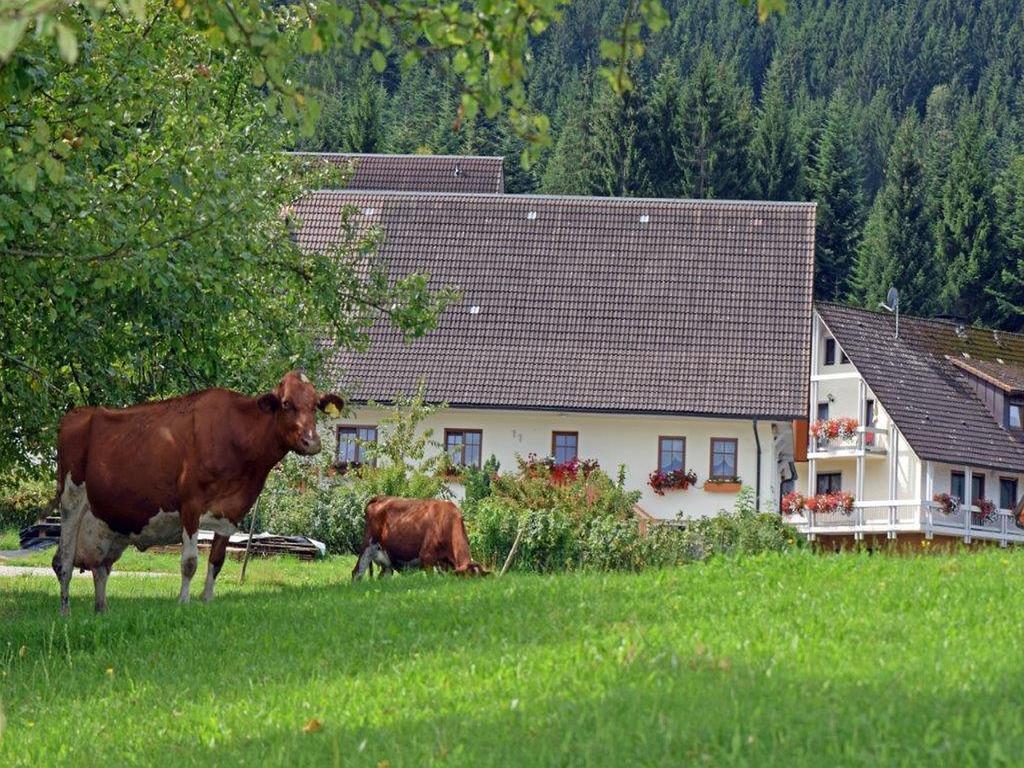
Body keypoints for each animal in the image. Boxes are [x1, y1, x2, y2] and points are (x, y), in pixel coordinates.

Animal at [50, 370, 344, 618]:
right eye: (286, 404)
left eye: (315, 405)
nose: (312, 442)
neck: (237, 436)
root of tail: (76, 414)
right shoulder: (190, 504)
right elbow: (189, 562)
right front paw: (183, 603)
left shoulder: (232, 512)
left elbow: (217, 561)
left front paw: (207, 600)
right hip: (71, 500)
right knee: (63, 561)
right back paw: (65, 612)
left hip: (107, 521)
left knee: (101, 567)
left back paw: (102, 610)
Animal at [352, 495, 487, 581]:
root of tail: (380, 498)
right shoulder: (427, 557)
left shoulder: (444, 564)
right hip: (368, 546)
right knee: (356, 573)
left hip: (387, 562)